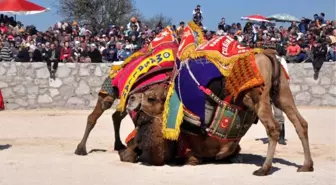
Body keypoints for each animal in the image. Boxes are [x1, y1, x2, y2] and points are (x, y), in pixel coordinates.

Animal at [121, 49, 316, 176]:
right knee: (301, 123)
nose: (131, 98)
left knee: (273, 127)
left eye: (151, 98)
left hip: (257, 96)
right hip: (282, 91)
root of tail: (269, 57)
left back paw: (264, 169)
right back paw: (307, 165)